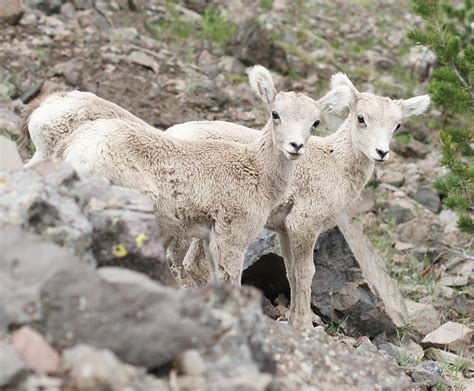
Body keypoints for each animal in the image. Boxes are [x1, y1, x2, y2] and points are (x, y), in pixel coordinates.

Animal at [166, 72, 430, 330]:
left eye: (397, 125)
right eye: (361, 118)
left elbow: (291, 272)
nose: (381, 152)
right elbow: (306, 272)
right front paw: (304, 325)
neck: (335, 164)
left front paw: (292, 320)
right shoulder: (304, 224)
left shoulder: (284, 229)